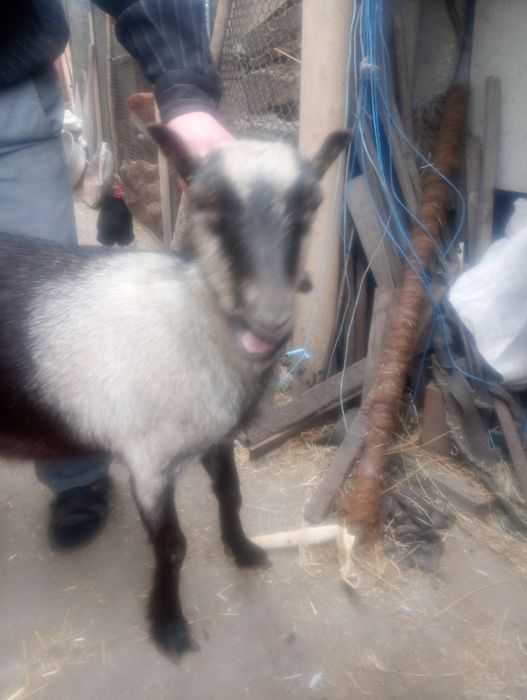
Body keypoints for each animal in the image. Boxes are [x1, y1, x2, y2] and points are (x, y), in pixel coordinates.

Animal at [0, 127, 351, 658]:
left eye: (311, 204)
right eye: (209, 203)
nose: (269, 323)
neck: (192, 321)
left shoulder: (216, 438)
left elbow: (231, 497)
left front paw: (244, 551)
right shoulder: (148, 465)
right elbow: (172, 546)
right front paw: (168, 625)